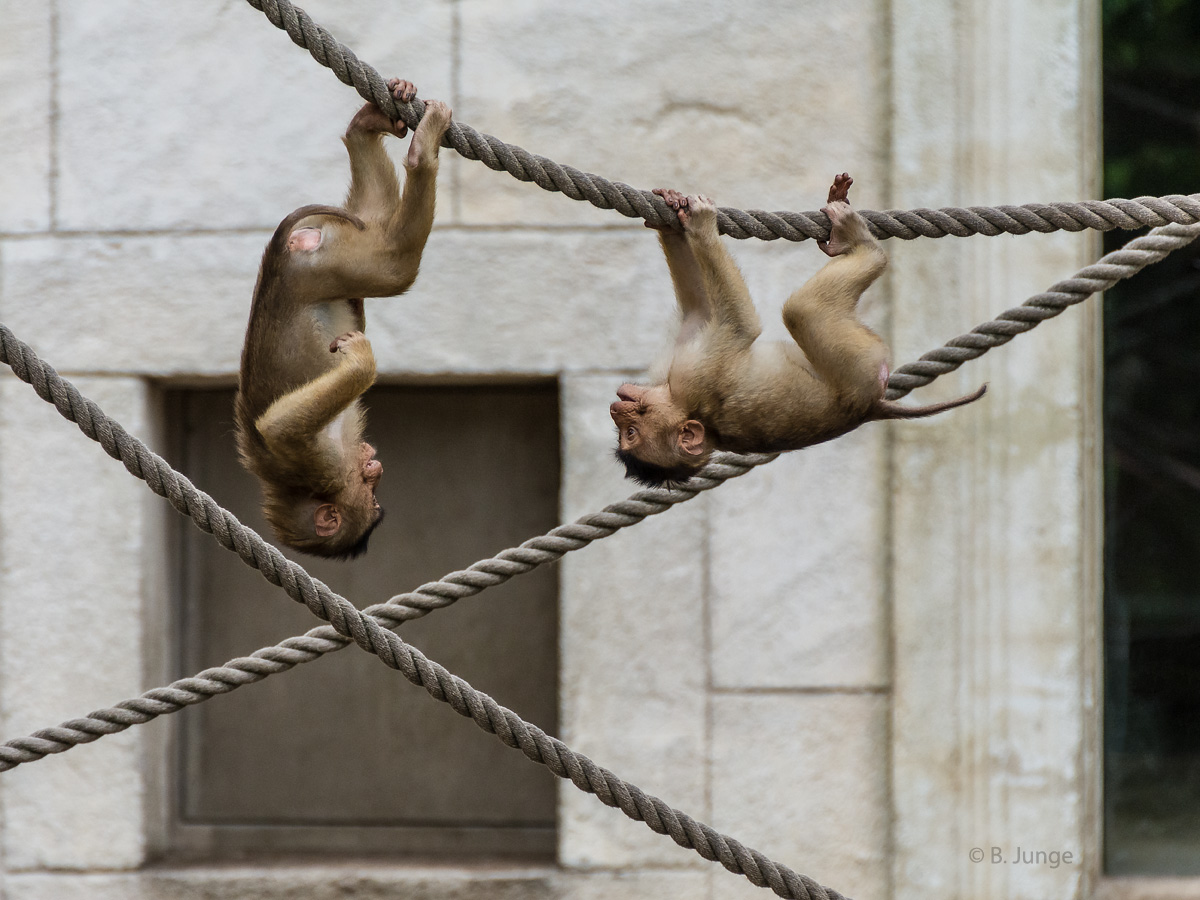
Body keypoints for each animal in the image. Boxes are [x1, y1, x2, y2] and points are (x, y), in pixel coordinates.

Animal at [234, 79, 451, 556]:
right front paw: (360, 362)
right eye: (372, 496)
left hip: (323, 254)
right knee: (393, 265)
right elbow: (279, 429)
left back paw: (370, 128)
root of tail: (278, 261)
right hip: (326, 263)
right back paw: (416, 153)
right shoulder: (323, 464)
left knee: (379, 241)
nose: (374, 464)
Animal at [614, 175, 988, 487]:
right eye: (628, 433)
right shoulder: (696, 377)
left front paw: (674, 212)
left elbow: (700, 309)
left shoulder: (688, 372)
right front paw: (701, 222)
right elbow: (739, 325)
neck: (679, 401)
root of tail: (871, 407)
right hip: (859, 369)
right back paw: (858, 242)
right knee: (802, 310)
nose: (616, 408)